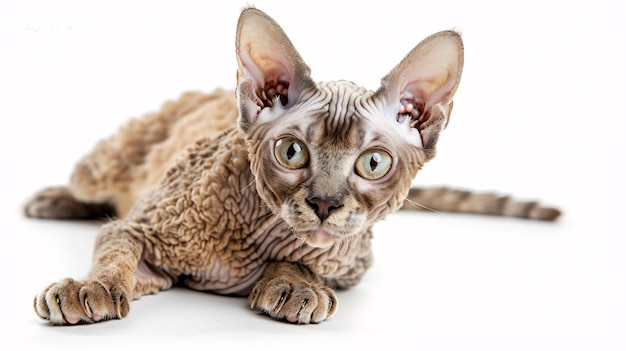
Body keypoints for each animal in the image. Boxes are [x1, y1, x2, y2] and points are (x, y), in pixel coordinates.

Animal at [26, 7, 560, 328]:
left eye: (372, 163)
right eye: (292, 152)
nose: (324, 203)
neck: (259, 236)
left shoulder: (353, 260)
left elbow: (310, 257)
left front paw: (294, 282)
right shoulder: (143, 228)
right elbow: (115, 254)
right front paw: (90, 288)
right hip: (109, 162)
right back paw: (53, 199)